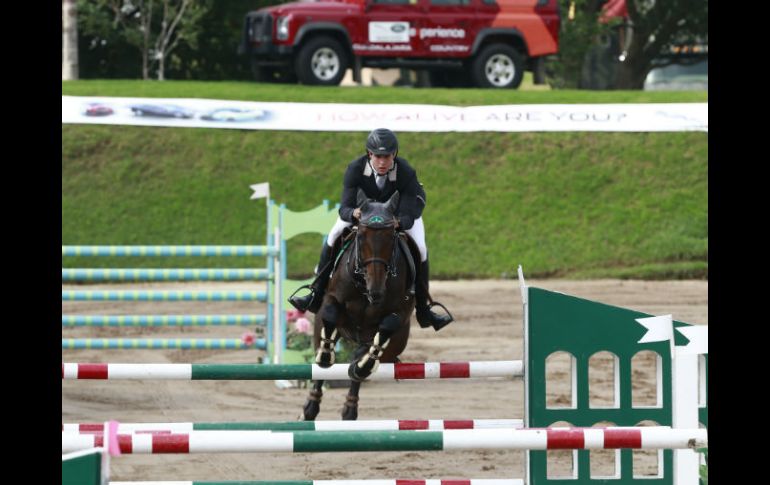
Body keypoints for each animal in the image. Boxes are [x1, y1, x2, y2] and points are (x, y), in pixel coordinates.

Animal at [302, 189, 420, 420]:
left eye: (391, 237)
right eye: (361, 236)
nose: (376, 291)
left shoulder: (400, 312)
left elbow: (387, 327)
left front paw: (363, 367)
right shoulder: (331, 299)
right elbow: (330, 314)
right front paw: (326, 355)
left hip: (393, 342)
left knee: (362, 359)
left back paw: (351, 404)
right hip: (323, 329)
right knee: (321, 362)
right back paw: (310, 408)